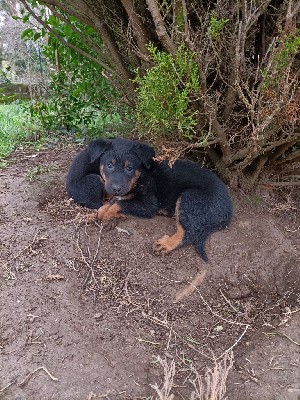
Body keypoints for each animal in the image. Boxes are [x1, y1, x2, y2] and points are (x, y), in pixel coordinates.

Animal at [67, 138, 233, 262]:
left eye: (129, 168)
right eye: (109, 165)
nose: (116, 188)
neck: (140, 176)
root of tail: (229, 209)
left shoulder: (149, 204)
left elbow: (118, 204)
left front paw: (109, 216)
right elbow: (111, 204)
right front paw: (98, 215)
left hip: (190, 198)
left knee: (188, 232)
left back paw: (166, 244)